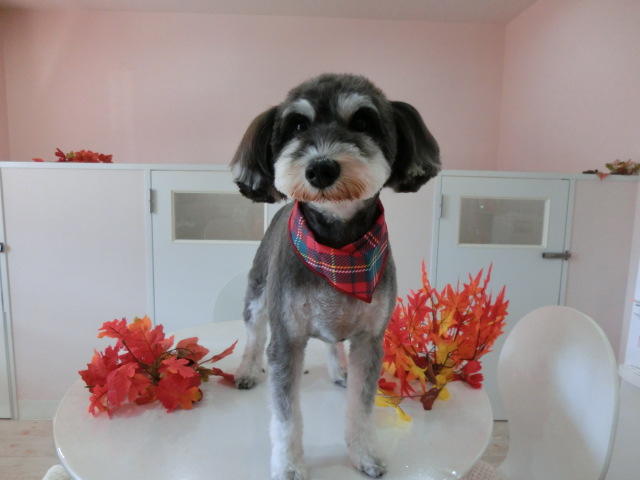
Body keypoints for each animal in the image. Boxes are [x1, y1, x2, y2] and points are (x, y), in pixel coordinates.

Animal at [230, 73, 440, 480]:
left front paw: (364, 454)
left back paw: (338, 368)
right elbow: (286, 417)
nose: (321, 168)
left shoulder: (370, 339)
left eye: (362, 121)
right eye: (297, 125)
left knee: (331, 341)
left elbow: (361, 407)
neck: (339, 252)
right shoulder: (286, 339)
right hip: (258, 294)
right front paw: (289, 465)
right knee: (253, 333)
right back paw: (247, 369)